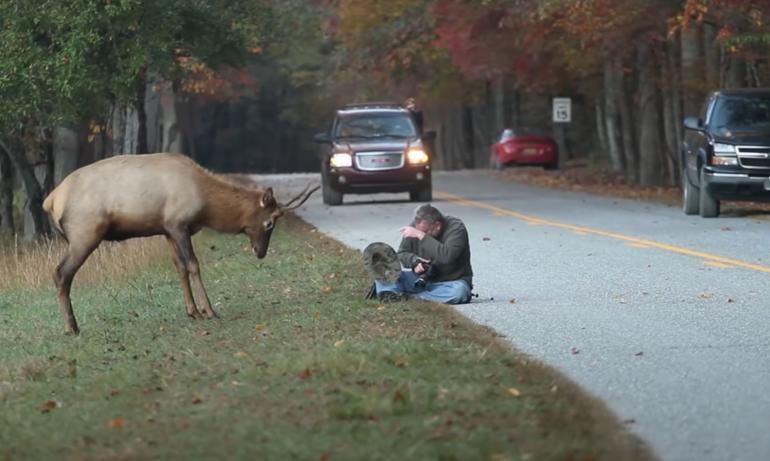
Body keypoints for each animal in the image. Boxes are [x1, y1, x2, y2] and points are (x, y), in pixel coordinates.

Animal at [41, 153, 318, 332]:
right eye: (269, 223)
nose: (260, 252)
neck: (207, 205)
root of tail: (51, 200)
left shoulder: (167, 230)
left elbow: (180, 268)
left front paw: (192, 311)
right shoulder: (179, 224)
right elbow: (194, 265)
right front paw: (209, 310)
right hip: (85, 233)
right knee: (61, 273)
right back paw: (71, 327)